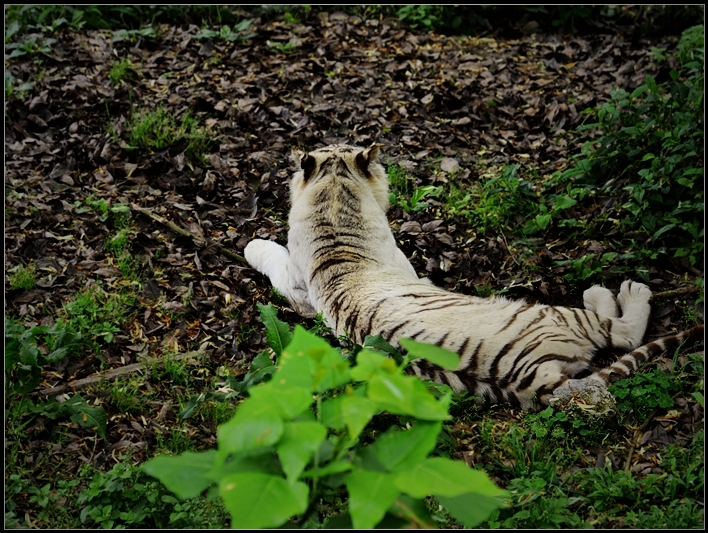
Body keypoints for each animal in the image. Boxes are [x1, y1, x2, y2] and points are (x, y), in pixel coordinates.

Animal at [245, 143, 704, 410]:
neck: (334, 203)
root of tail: (537, 381)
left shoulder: (303, 289)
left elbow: (274, 259)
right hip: (550, 314)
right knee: (621, 332)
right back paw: (619, 290)